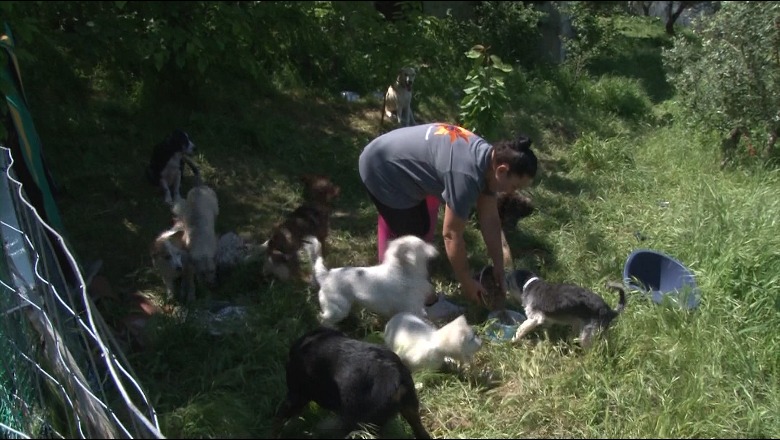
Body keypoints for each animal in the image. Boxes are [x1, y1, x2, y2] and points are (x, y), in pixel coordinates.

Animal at [272, 324, 432, 438]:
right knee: (421, 432)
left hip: (360, 422)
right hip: (410, 409)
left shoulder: (297, 394)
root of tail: (397, 379)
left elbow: (280, 417)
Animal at [304, 234, 438, 326]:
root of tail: (326, 275)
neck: (403, 271)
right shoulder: (412, 308)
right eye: (421, 245)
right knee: (323, 319)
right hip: (338, 309)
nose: (435, 249)